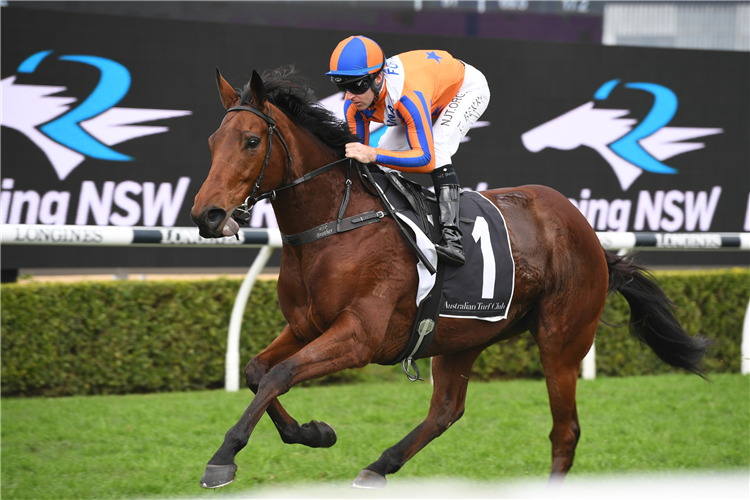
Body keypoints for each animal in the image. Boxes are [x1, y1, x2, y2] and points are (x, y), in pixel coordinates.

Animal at [191, 66, 708, 488]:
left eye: (251, 141)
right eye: (213, 142)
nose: (207, 215)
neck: (334, 225)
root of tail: (588, 234)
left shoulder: (359, 335)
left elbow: (280, 374)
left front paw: (223, 456)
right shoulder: (305, 326)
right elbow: (258, 371)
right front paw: (315, 433)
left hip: (562, 341)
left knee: (565, 432)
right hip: (463, 335)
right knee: (446, 411)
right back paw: (378, 467)